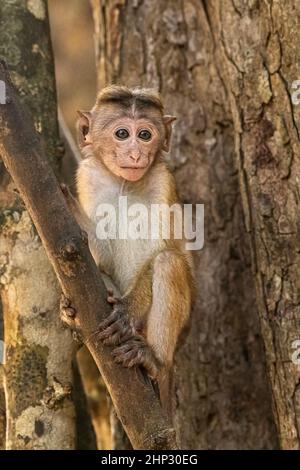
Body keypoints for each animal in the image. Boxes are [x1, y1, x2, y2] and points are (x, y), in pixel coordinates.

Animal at [61, 84, 195, 408]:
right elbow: (96, 256)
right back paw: (72, 309)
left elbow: (164, 250)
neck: (124, 184)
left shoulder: (163, 183)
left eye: (145, 135)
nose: (136, 153)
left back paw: (153, 359)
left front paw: (127, 312)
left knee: (169, 263)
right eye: (122, 134)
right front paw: (69, 208)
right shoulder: (88, 177)